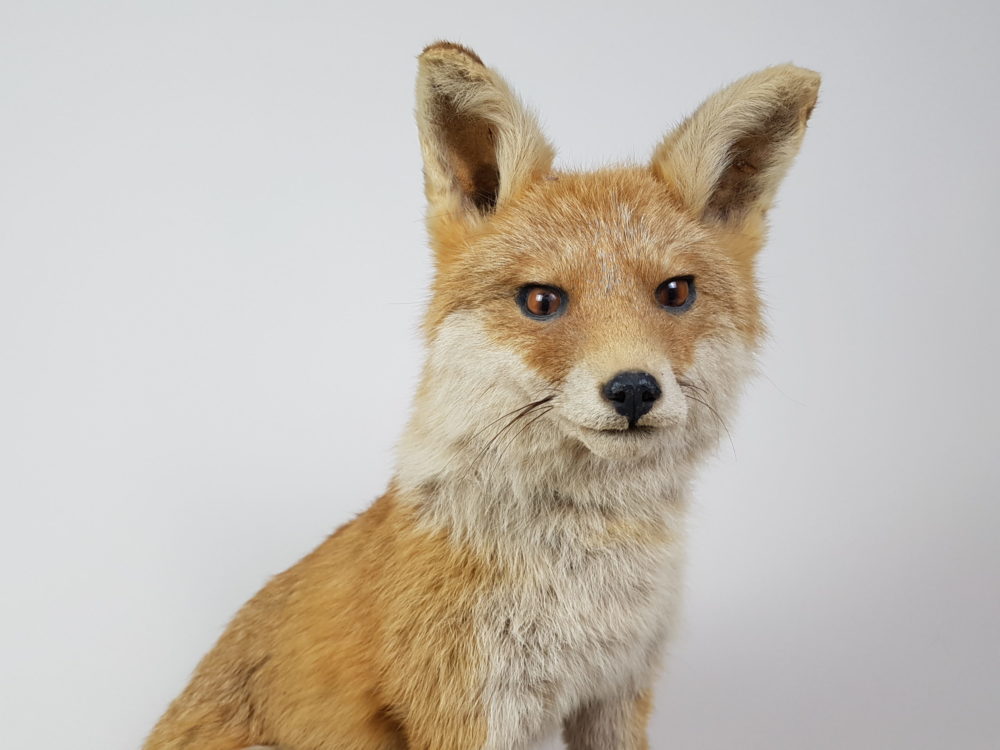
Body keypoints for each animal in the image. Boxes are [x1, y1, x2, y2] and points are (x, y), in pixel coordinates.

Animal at [144, 41, 820, 750]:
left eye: (675, 293)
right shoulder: (468, 707)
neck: (584, 565)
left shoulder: (616, 692)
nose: (634, 388)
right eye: (542, 301)